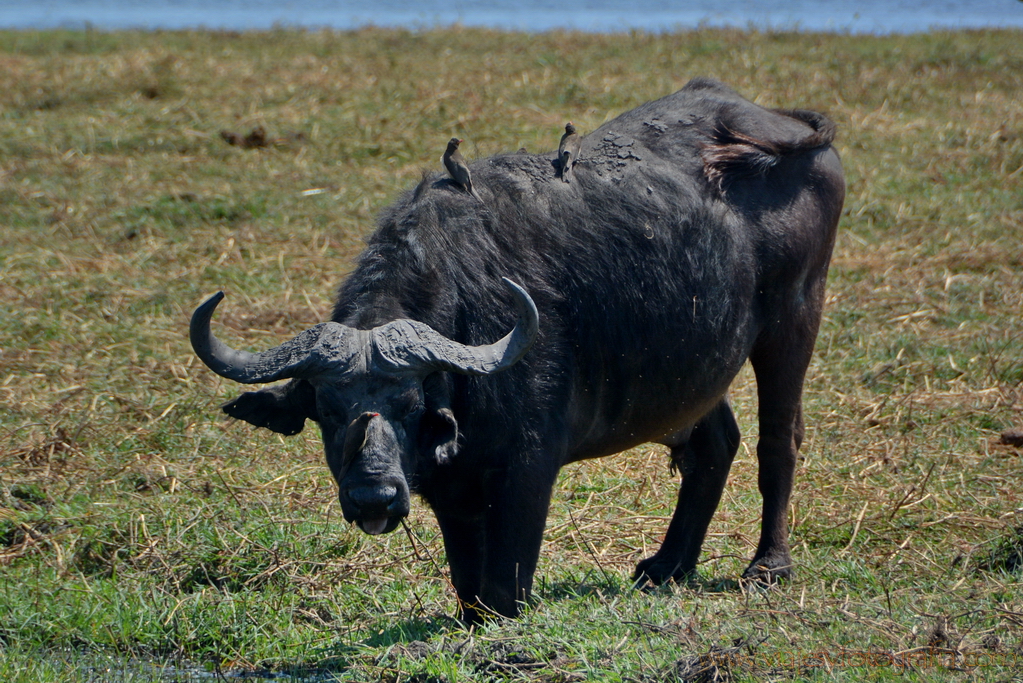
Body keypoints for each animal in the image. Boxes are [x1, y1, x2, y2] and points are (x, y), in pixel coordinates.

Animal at [190, 77, 838, 621]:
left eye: (409, 406)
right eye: (328, 410)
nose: (374, 495)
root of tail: (787, 126)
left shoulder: (529, 465)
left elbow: (505, 587)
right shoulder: (449, 486)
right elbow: (467, 583)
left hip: (795, 318)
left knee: (779, 439)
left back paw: (767, 565)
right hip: (693, 371)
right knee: (714, 443)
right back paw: (666, 566)